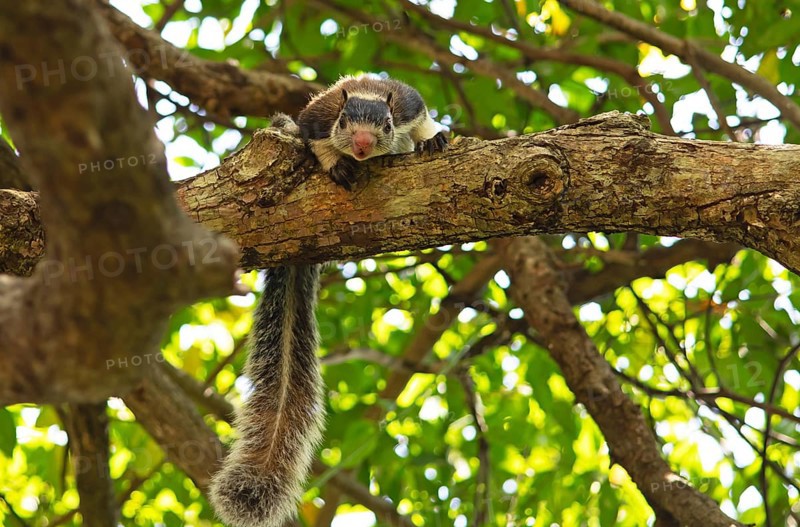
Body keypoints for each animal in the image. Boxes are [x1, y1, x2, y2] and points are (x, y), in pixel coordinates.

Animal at [209, 75, 447, 527]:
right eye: (343, 121)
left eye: (387, 124)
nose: (362, 145)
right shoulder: (316, 120)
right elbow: (311, 139)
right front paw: (334, 162)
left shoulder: (410, 104)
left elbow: (424, 122)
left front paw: (433, 140)